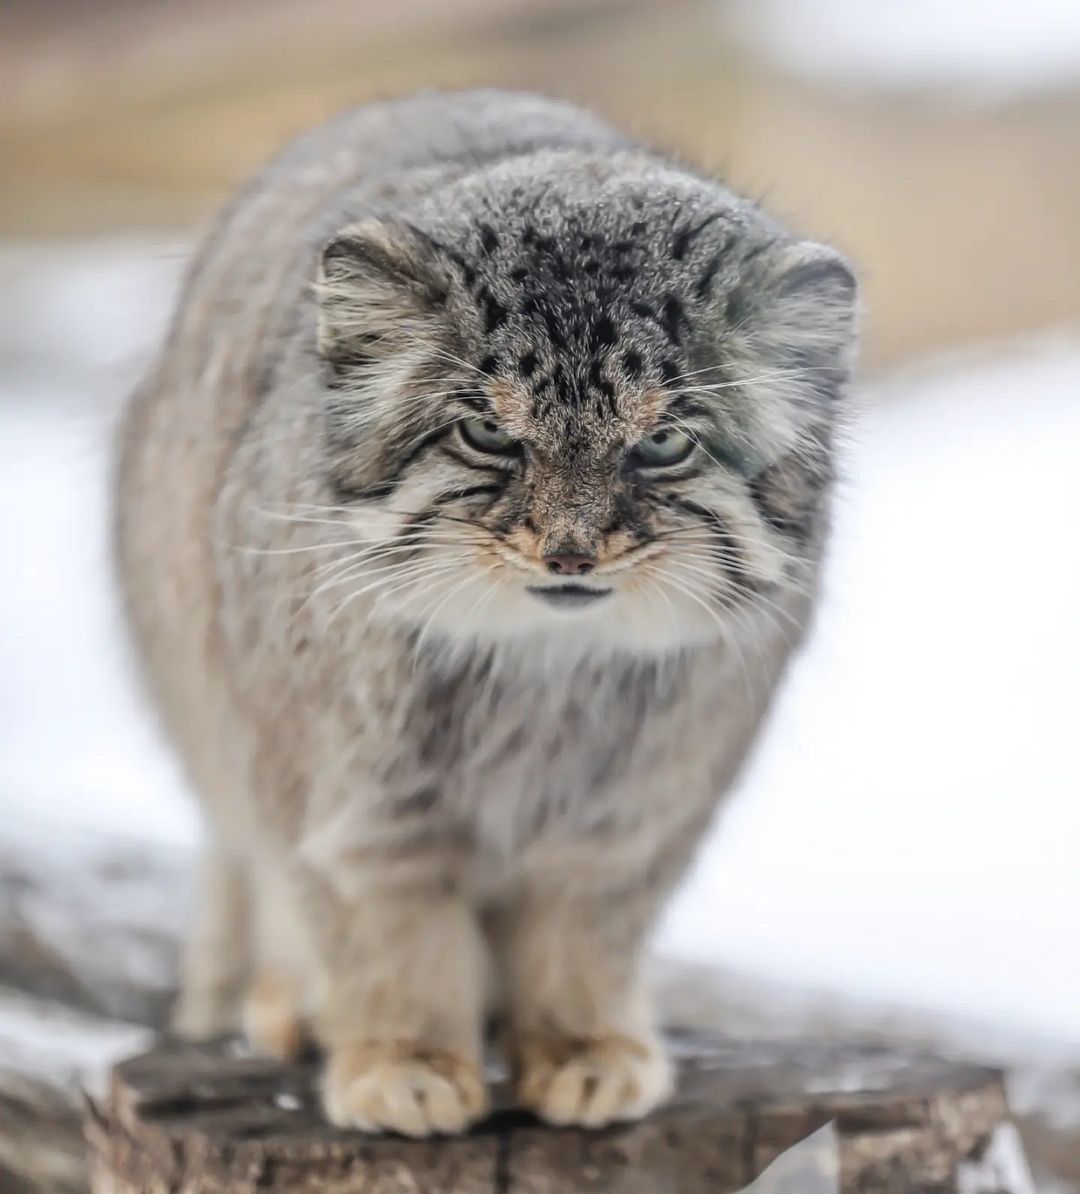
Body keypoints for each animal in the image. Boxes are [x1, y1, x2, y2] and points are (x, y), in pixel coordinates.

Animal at [115, 88, 859, 1131]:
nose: (570, 551)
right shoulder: (356, 814)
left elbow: (581, 946)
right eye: (487, 433)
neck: (539, 677)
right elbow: (389, 948)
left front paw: (586, 1049)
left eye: (663, 442)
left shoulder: (628, 825)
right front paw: (404, 1062)